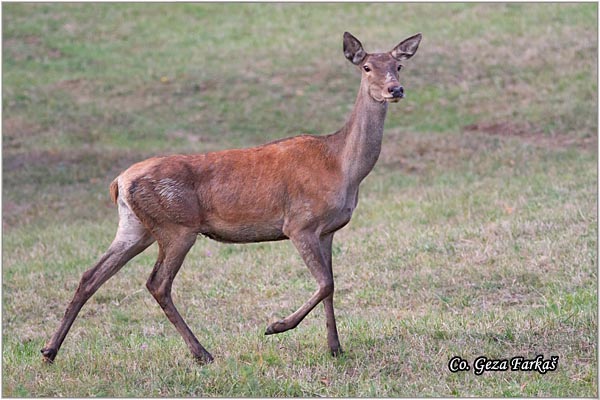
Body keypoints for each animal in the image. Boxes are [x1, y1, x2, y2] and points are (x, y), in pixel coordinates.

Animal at [41, 31, 422, 364]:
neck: (342, 167)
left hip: (136, 227)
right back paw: (202, 353)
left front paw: (335, 348)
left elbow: (330, 286)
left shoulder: (328, 229)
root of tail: (118, 182)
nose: (395, 89)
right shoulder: (299, 223)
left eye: (398, 66)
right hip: (176, 226)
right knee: (157, 283)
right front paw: (276, 326)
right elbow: (326, 283)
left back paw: (49, 351)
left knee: (91, 275)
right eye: (367, 67)